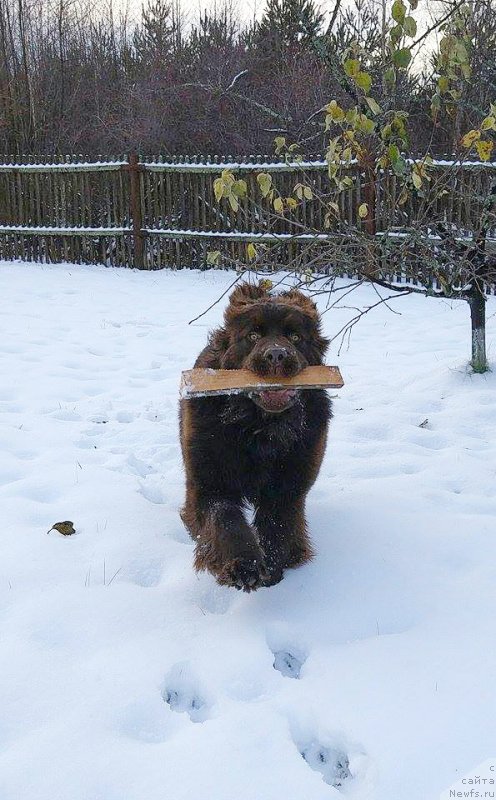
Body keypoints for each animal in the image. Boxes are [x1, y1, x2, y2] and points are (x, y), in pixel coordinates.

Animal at [180, 280, 332, 588]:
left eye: (295, 337)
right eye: (252, 335)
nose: (276, 355)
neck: (261, 430)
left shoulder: (289, 485)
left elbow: (277, 524)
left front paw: (273, 568)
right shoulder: (207, 482)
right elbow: (224, 517)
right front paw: (243, 564)